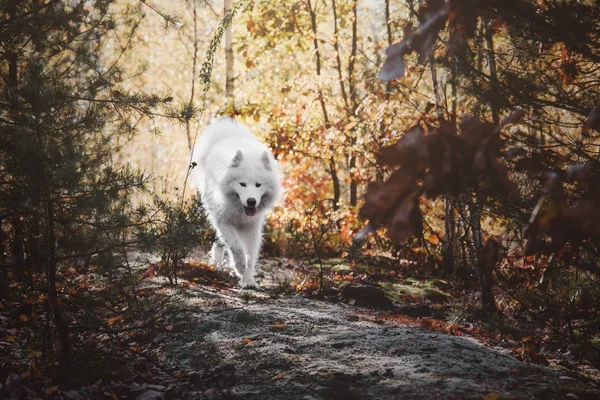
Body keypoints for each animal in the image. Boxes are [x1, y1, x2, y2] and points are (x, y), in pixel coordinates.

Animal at [192, 117, 282, 290]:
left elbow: (251, 255)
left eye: (258, 185)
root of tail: (227, 134)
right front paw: (239, 267)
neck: (240, 211)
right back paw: (218, 264)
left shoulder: (253, 227)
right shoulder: (224, 221)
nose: (251, 201)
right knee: (222, 240)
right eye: (242, 184)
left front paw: (248, 280)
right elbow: (236, 246)